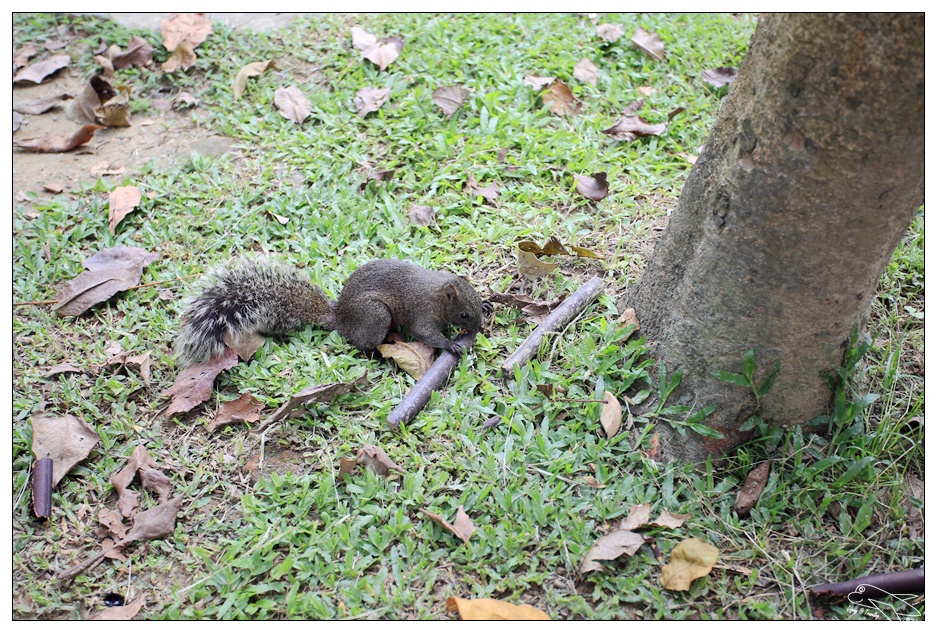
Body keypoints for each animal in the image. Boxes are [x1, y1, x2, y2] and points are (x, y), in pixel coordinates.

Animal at [173, 258, 490, 366]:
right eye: (464, 314)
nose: (478, 329)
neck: (437, 293)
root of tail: (341, 319)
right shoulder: (422, 312)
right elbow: (425, 333)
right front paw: (450, 344)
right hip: (376, 315)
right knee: (361, 343)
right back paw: (377, 355)